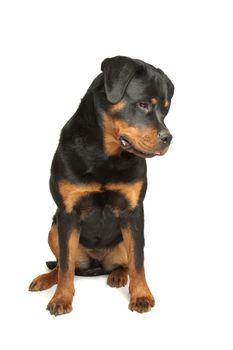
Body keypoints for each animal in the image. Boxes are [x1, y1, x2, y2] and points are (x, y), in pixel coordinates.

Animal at [28, 56, 175, 316]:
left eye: (165, 109)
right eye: (143, 104)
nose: (168, 138)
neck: (105, 155)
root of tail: (97, 265)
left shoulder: (133, 213)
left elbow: (138, 261)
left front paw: (141, 296)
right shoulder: (67, 213)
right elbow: (65, 265)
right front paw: (61, 298)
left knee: (127, 262)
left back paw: (118, 275)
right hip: (54, 229)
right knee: (62, 264)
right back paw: (45, 279)